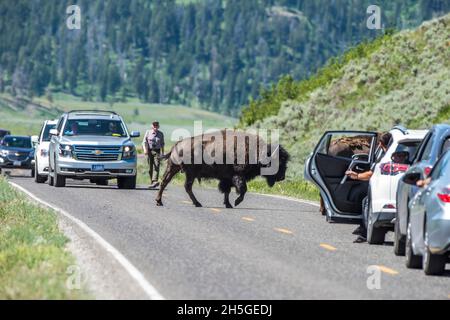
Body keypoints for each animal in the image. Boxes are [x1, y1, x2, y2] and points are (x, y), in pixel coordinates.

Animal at [156, 129, 290, 208]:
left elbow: (227, 191)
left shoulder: (227, 179)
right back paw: (197, 203)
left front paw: (229, 204)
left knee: (164, 182)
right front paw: (236, 202)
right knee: (185, 186)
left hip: (173, 168)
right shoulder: (237, 176)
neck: (257, 152)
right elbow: (242, 189)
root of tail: (178, 144)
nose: (282, 177)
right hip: (189, 173)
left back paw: (159, 201)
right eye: (277, 162)